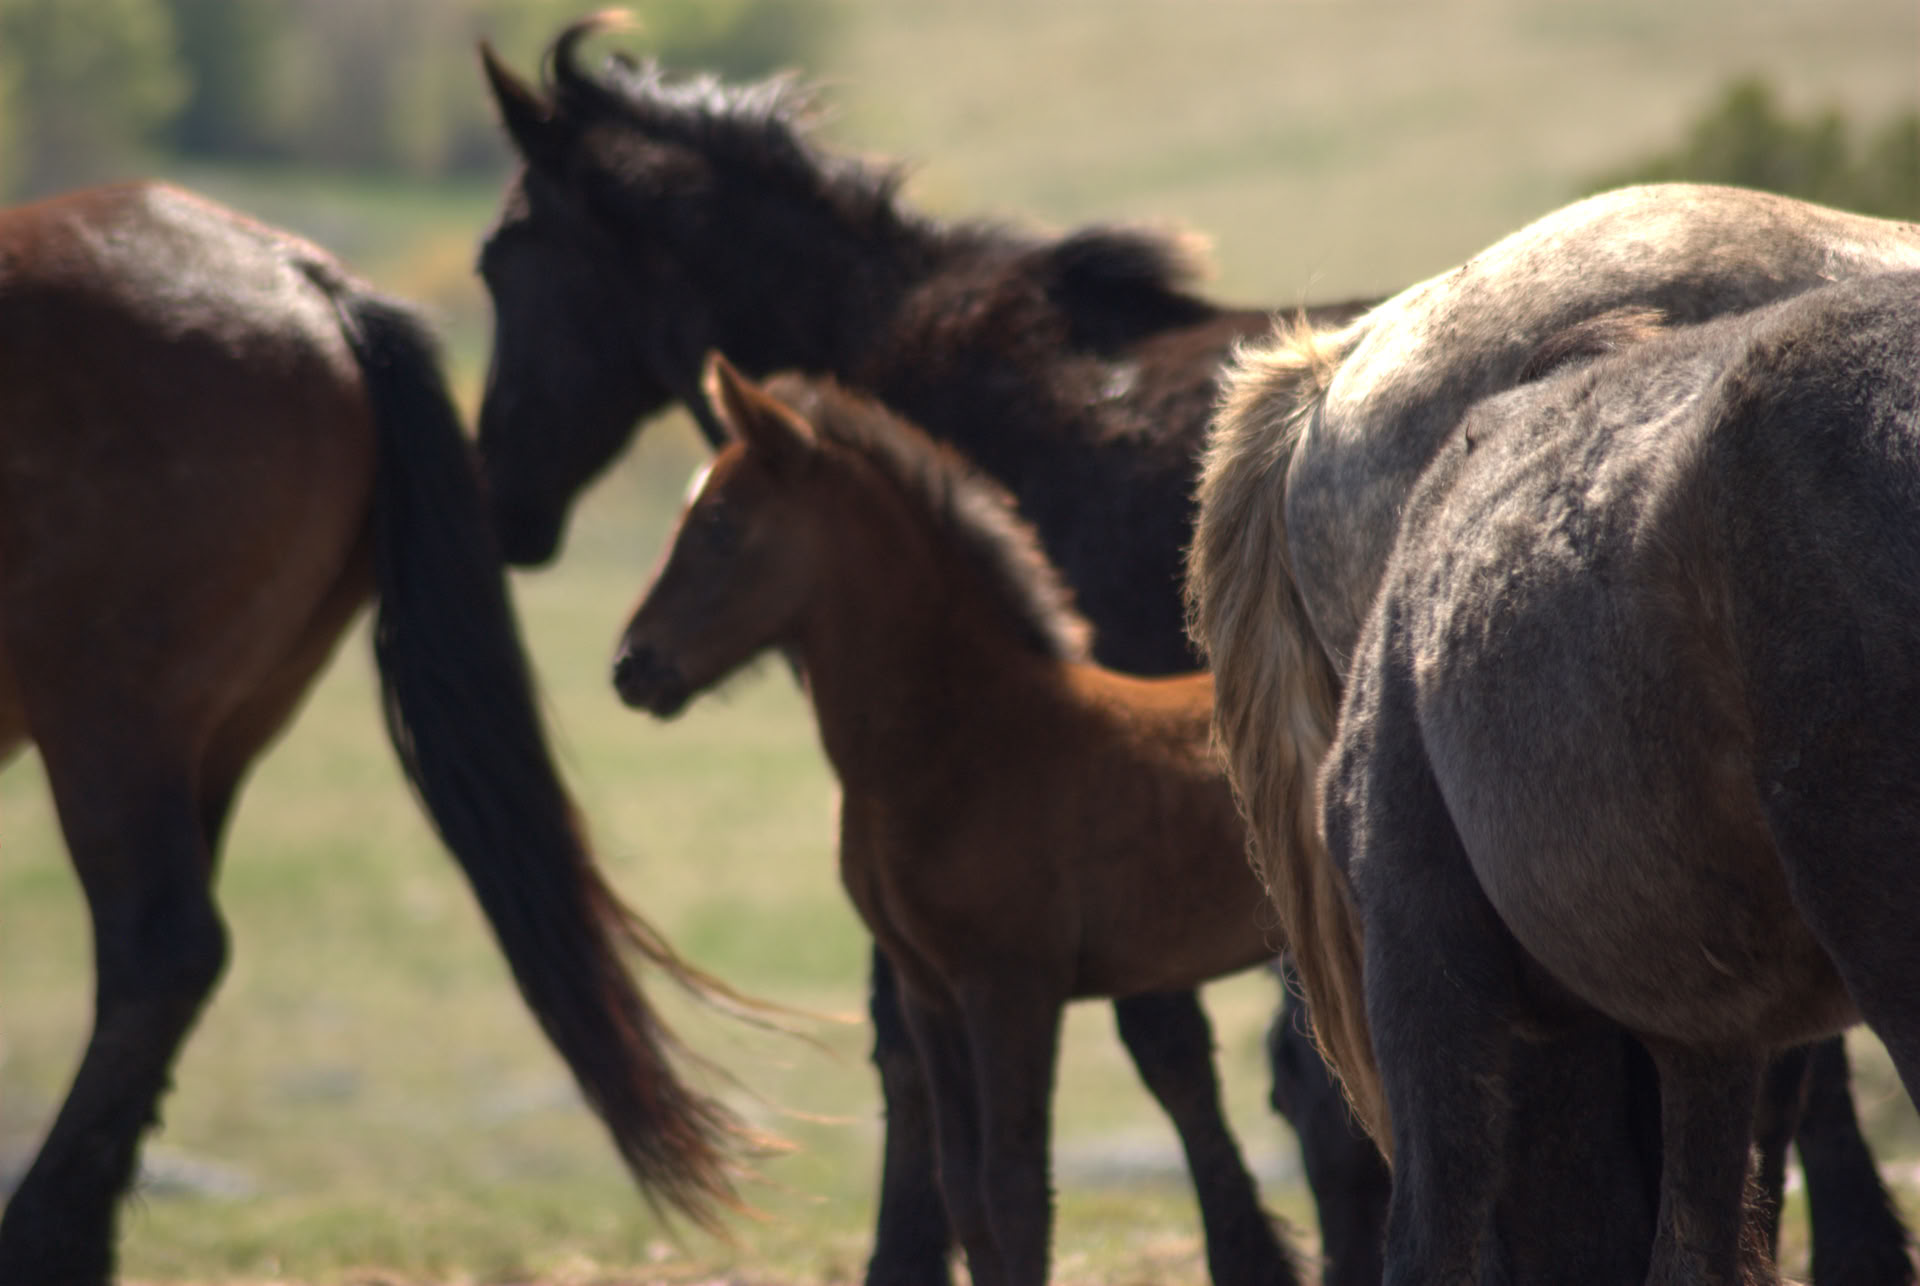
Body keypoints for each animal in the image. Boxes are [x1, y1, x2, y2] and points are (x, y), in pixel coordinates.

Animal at [616, 355, 1305, 1286]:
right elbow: (963, 1190)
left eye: (719, 525)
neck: (960, 734)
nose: (630, 667)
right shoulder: (928, 990)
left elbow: (1014, 1190)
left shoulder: (1012, 985)